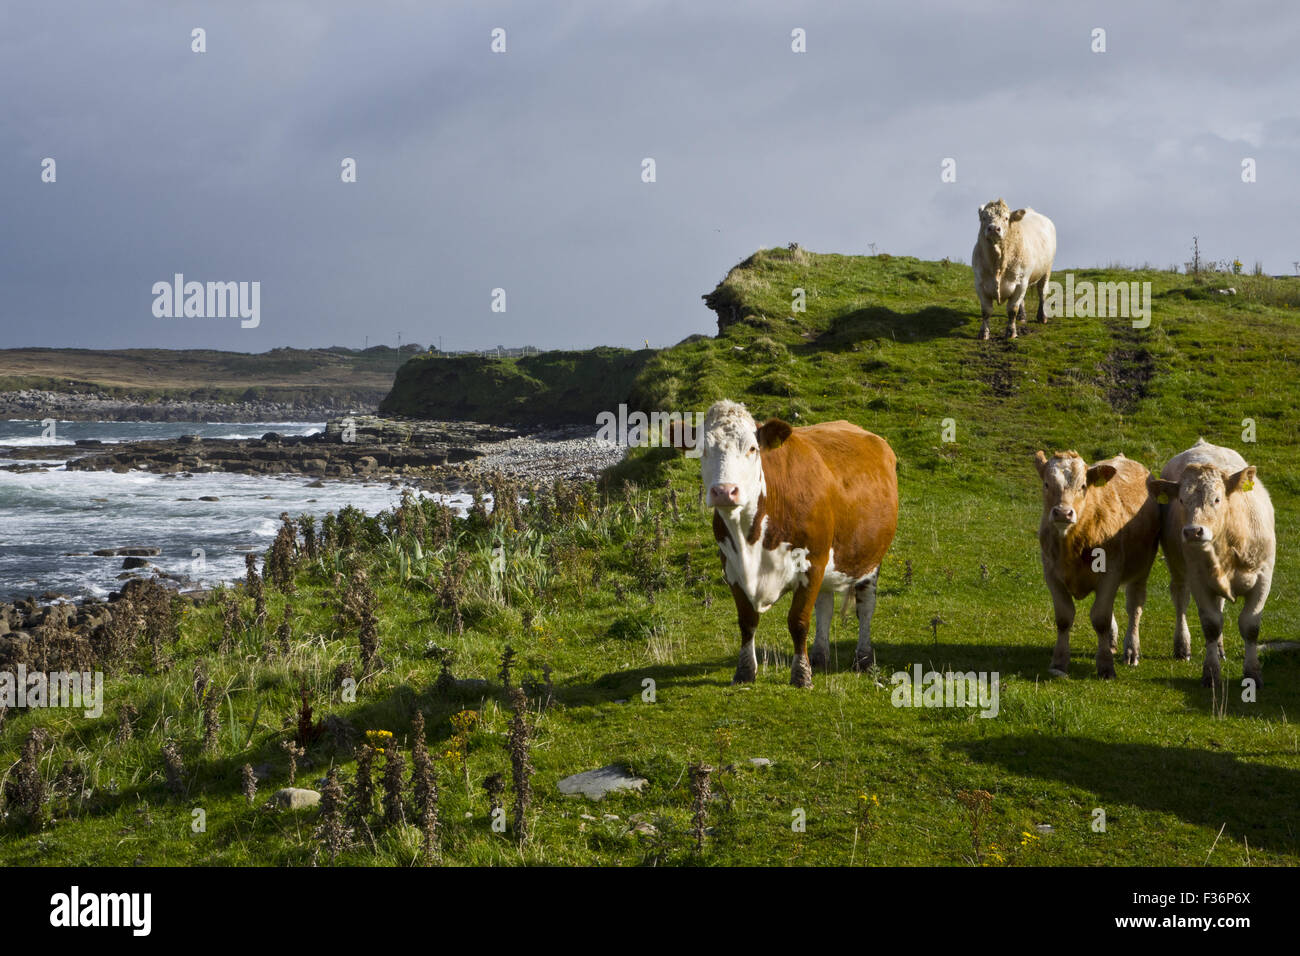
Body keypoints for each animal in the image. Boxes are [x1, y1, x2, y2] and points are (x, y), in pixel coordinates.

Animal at [670, 400, 898, 688]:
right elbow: (747, 621)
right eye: (703, 449)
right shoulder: (731, 568)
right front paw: (745, 672)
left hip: (870, 559)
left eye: (752, 448)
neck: (752, 541)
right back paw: (820, 657)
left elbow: (798, 621)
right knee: (825, 606)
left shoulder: (812, 563)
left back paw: (864, 659)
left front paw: (801, 675)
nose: (724, 491)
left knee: (865, 606)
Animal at [972, 198, 1057, 340]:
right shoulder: (980, 283)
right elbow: (986, 311)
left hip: (1046, 269)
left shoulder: (1021, 283)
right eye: (984, 217)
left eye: (1006, 218)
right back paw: (1022, 317)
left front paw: (1011, 332)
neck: (998, 265)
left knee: (1042, 292)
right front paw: (983, 333)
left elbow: (1012, 309)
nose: (993, 228)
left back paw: (1042, 316)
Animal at [1035, 450, 1160, 678]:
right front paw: (1059, 662)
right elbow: (1064, 618)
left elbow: (1101, 618)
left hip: (1142, 569)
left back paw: (1131, 649)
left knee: (1134, 606)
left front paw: (1105, 666)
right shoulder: (1051, 573)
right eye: (1047, 484)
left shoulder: (1111, 572)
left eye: (1083, 486)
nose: (1063, 513)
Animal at [1146, 439, 1276, 688]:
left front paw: (1253, 673)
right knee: (1180, 598)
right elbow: (1211, 625)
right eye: (1182, 500)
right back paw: (1182, 646)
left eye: (1216, 499)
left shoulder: (1264, 576)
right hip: (1178, 566)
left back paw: (1222, 649)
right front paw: (1211, 673)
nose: (1192, 531)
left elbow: (1250, 625)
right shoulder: (1198, 578)